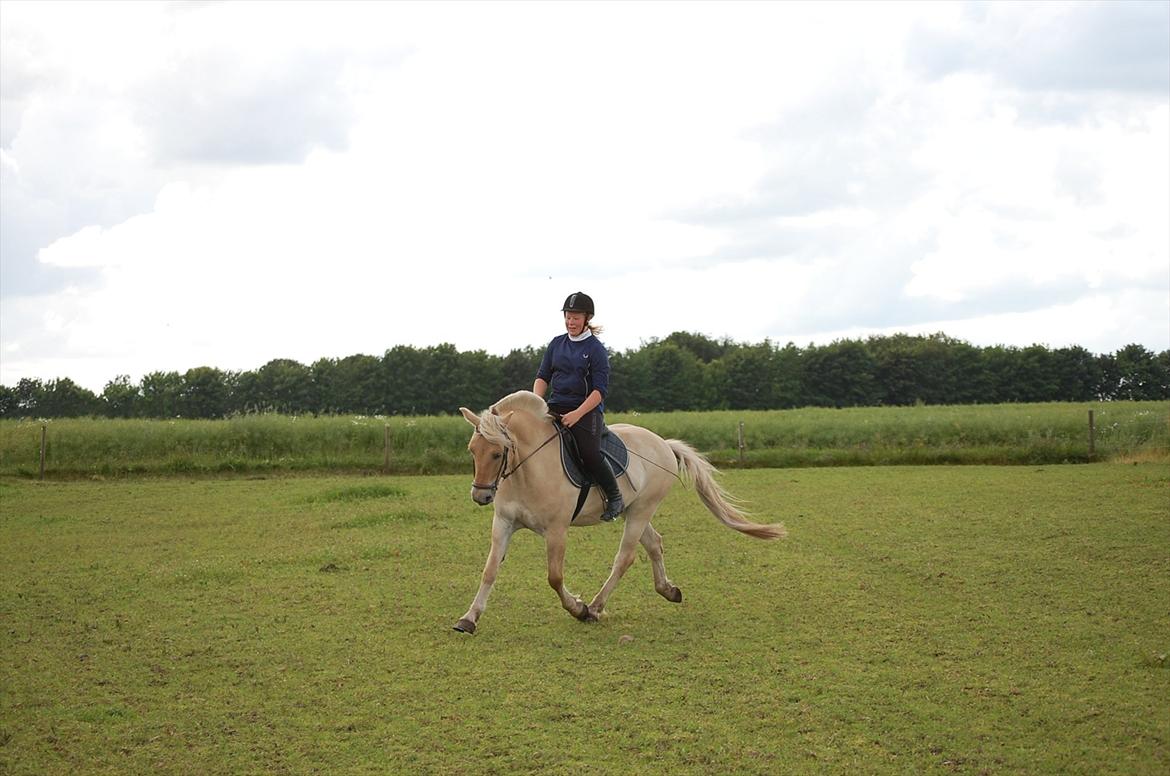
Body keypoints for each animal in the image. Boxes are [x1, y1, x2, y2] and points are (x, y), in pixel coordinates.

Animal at [451, 390, 781, 636]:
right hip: (633, 510)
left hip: (642, 510)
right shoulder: (503, 523)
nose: (481, 496)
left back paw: (596, 608)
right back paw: (668, 590)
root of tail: (663, 444)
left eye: (497, 453)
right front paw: (469, 618)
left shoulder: (557, 530)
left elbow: (555, 577)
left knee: (626, 556)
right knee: (654, 544)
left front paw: (578, 608)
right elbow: (490, 570)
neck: (528, 468)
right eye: (472, 450)